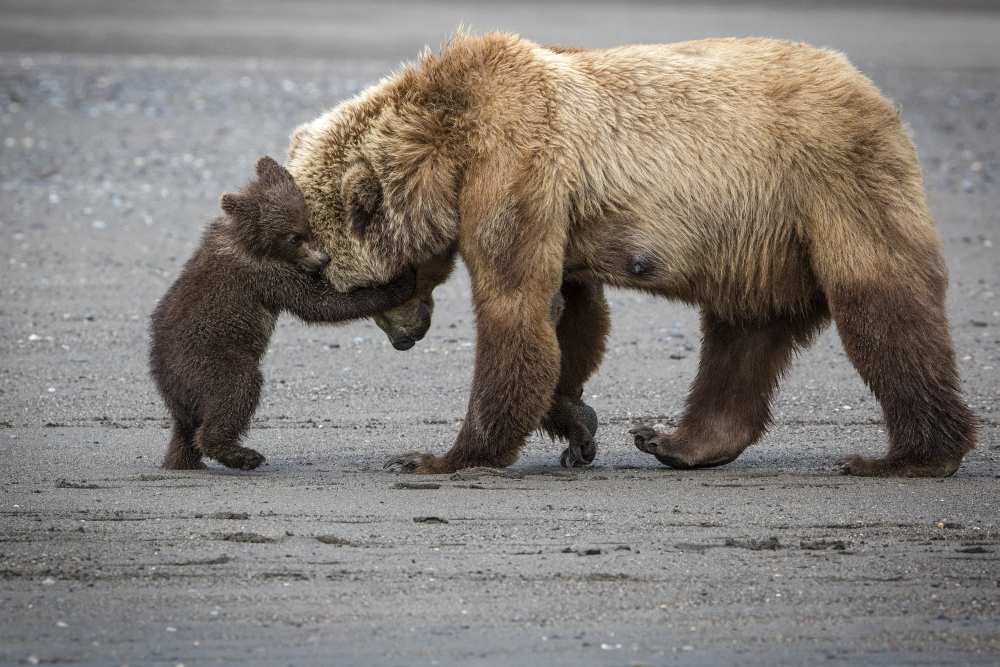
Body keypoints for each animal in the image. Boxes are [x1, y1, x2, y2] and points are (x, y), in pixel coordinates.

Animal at [288, 34, 976, 478]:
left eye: (353, 286)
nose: (405, 338)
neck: (445, 143)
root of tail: (871, 90)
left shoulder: (515, 164)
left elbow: (515, 308)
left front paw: (439, 456)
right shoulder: (555, 205)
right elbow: (569, 315)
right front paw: (576, 423)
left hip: (829, 183)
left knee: (881, 305)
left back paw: (911, 456)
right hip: (758, 241)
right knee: (743, 335)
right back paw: (677, 441)